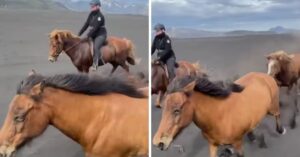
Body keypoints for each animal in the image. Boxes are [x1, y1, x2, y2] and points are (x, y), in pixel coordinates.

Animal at [154, 72, 288, 157]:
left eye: (176, 110)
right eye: (163, 108)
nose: (158, 143)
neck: (219, 117)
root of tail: (265, 76)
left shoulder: (238, 144)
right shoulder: (213, 145)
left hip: (272, 108)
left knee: (277, 115)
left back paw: (281, 130)